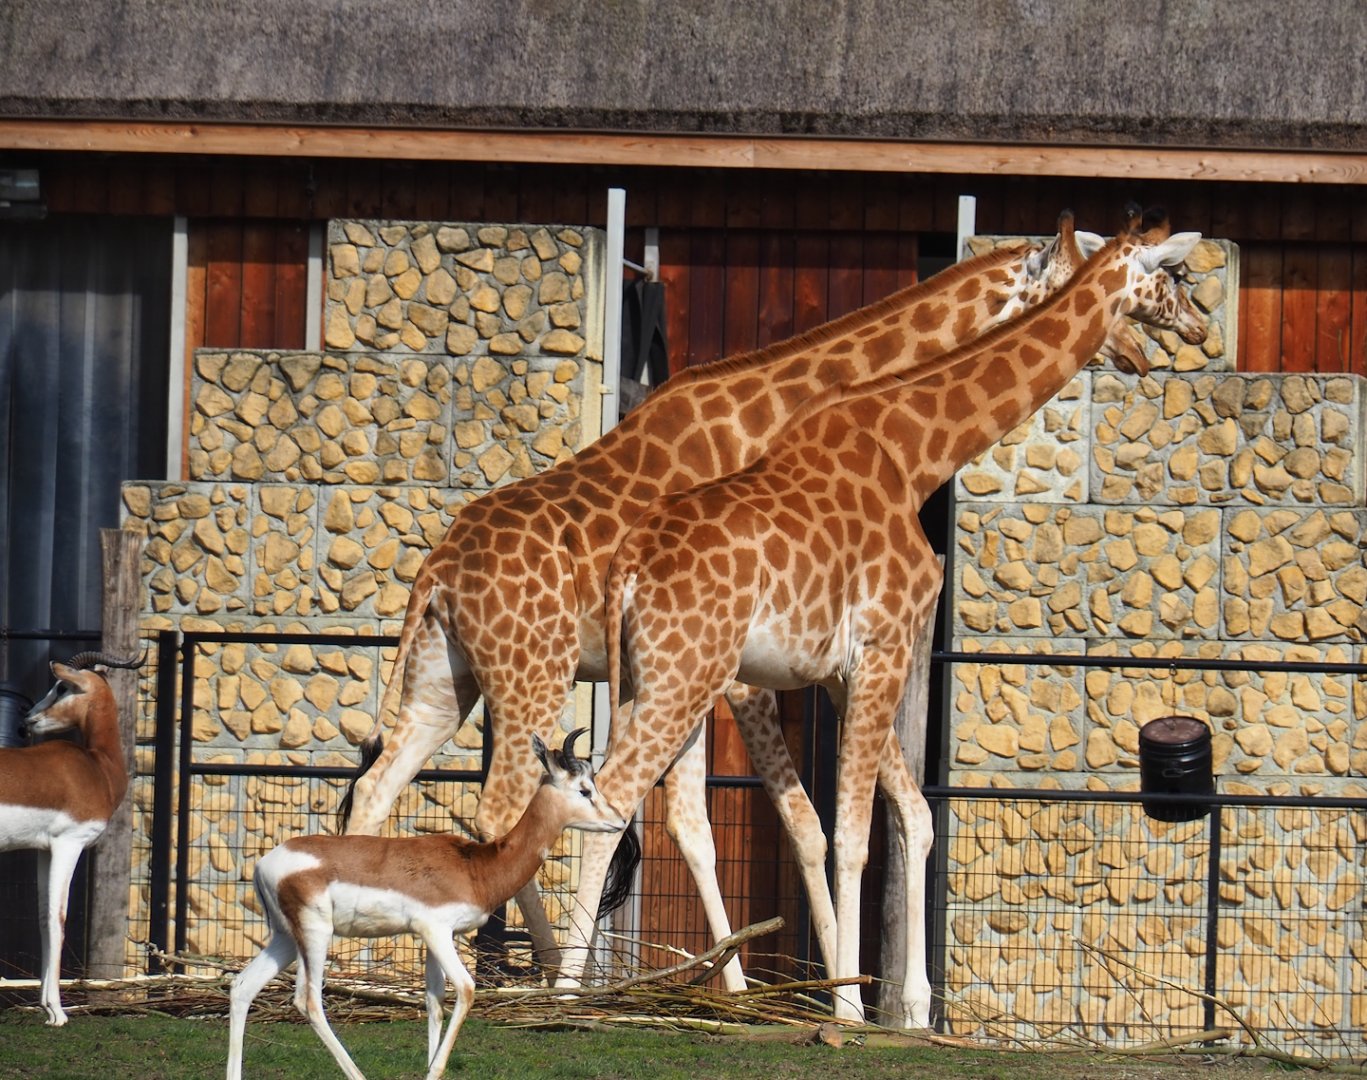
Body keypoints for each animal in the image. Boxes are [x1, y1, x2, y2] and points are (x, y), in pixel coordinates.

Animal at [338, 219, 1101, 981]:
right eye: (1077, 269)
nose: (1121, 349)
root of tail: (436, 568)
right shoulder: (742, 673)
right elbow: (794, 823)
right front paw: (814, 980)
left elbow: (706, 826)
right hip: (534, 676)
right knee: (497, 811)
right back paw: (538, 971)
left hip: (451, 681)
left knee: (377, 788)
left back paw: (358, 966)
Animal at [559, 210, 1207, 1026]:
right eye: (1173, 276)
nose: (1198, 328)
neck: (913, 451)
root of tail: (627, 568)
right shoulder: (884, 646)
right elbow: (852, 835)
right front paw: (847, 1005)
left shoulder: (845, 670)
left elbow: (911, 817)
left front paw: (912, 1005)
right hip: (683, 679)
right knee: (607, 799)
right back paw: (559, 995)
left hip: (656, 680)